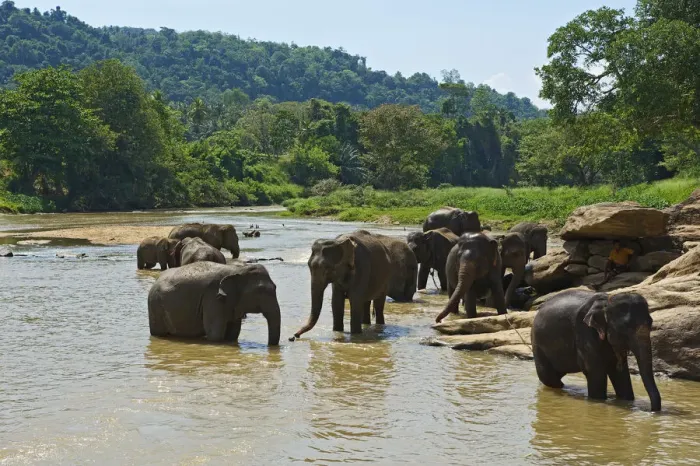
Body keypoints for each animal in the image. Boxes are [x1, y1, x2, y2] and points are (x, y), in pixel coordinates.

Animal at [148, 261, 281, 346]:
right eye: (260, 291)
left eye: (275, 287)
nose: (269, 347)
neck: (238, 270)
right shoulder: (212, 298)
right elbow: (215, 335)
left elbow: (233, 333)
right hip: (155, 306)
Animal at [531, 290, 661, 412]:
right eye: (626, 327)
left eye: (651, 323)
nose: (650, 410)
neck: (608, 300)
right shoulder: (584, 331)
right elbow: (596, 372)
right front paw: (599, 401)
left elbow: (620, 372)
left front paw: (626, 401)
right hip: (538, 344)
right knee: (548, 377)